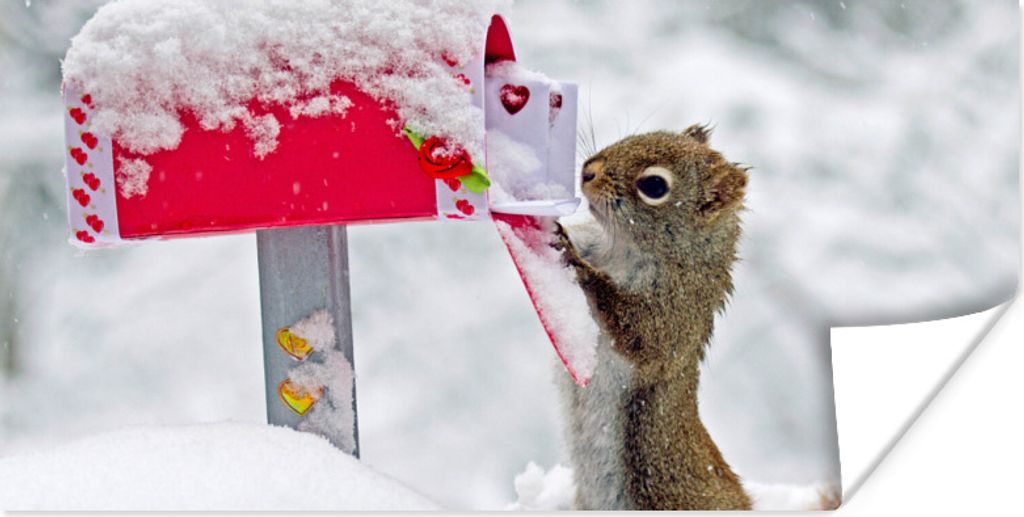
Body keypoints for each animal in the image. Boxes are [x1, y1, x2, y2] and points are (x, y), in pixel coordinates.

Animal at [553, 125, 752, 510]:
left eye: (655, 186)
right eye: (638, 135)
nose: (588, 171)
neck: (621, 248)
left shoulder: (673, 313)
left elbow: (638, 332)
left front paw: (580, 267)